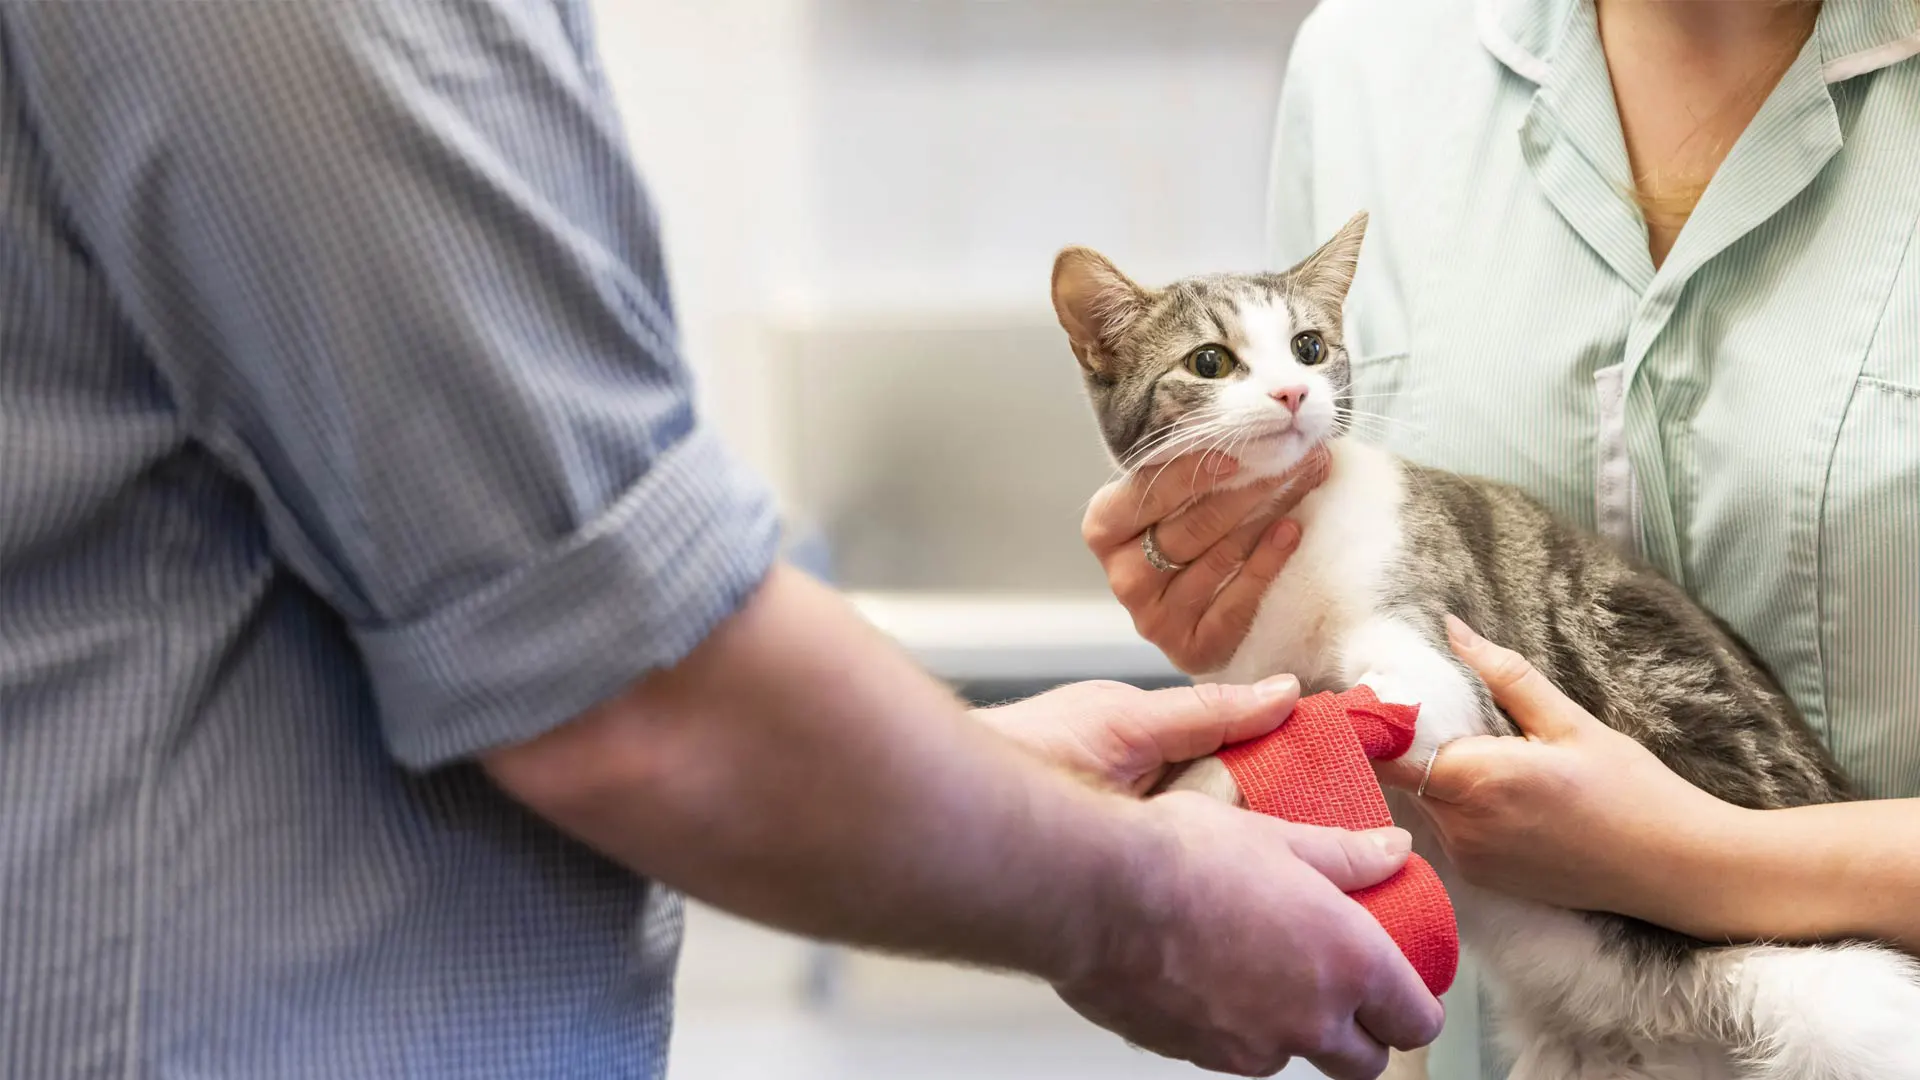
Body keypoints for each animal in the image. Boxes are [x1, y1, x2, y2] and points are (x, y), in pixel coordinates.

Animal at [1052, 208, 1920, 1076]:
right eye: (1210, 361)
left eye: (1309, 346)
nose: (1293, 391)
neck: (1284, 530)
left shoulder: (1439, 664)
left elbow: (1322, 720)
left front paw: (1190, 801)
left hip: (1838, 999)